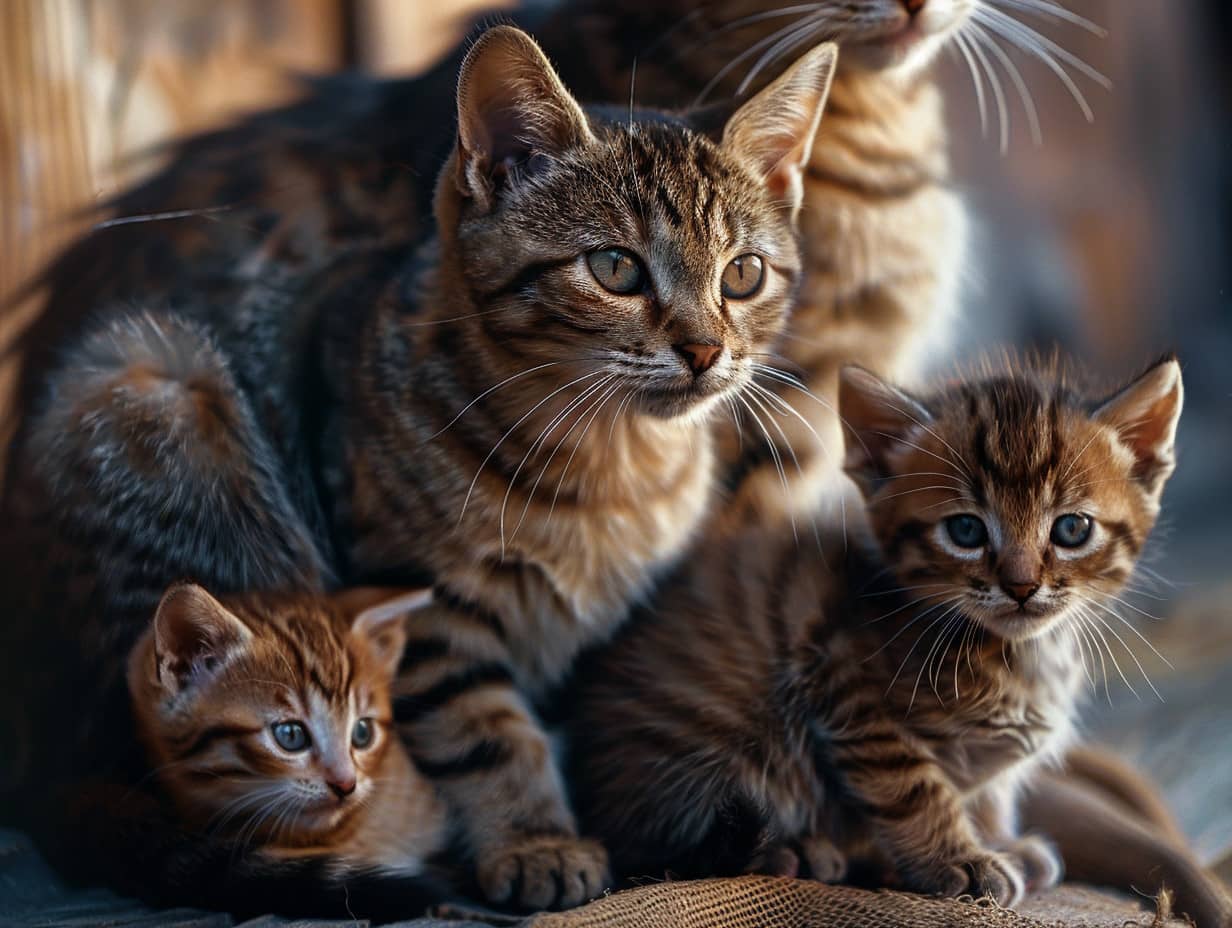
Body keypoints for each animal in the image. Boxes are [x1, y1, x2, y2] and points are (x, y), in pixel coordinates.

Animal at [0, 27, 837, 911]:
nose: (706, 350)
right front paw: (535, 841)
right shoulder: (432, 610)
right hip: (156, 393)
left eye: (742, 274)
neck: (615, 463)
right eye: (616, 268)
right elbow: (487, 733)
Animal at [566, 354, 1182, 907]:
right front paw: (964, 861)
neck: (1016, 651)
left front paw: (1000, 841)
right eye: (965, 531)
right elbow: (914, 787)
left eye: (1072, 529)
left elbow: (990, 792)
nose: (1022, 585)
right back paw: (795, 853)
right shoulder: (843, 681)